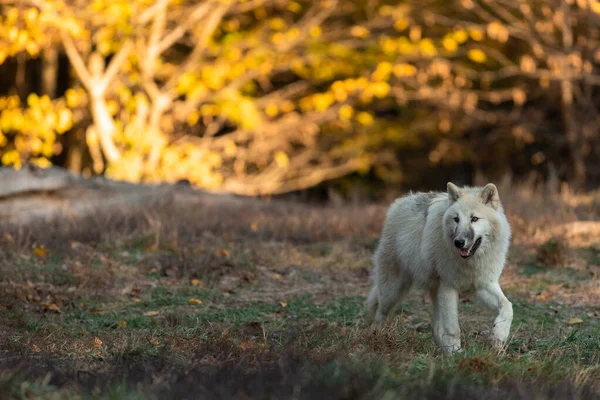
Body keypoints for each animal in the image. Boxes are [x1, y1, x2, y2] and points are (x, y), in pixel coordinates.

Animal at [366, 182, 510, 354]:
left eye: (474, 219)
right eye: (456, 219)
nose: (458, 242)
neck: (471, 262)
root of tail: (399, 202)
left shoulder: (483, 285)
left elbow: (507, 306)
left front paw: (499, 335)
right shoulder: (448, 287)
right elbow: (453, 328)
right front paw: (456, 354)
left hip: (434, 292)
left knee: (435, 325)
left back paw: (443, 349)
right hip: (392, 291)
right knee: (380, 313)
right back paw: (375, 337)